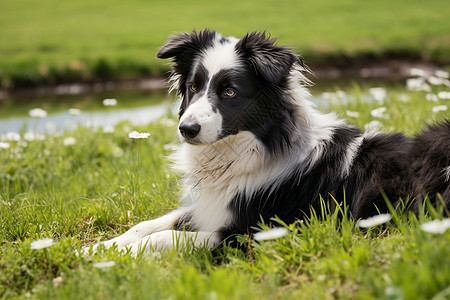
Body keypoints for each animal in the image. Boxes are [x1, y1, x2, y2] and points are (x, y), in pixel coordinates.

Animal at [85, 29, 450, 255]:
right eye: (193, 87)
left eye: (230, 92)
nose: (186, 129)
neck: (246, 153)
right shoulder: (213, 206)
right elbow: (149, 224)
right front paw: (97, 248)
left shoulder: (258, 231)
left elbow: (164, 235)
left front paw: (123, 254)